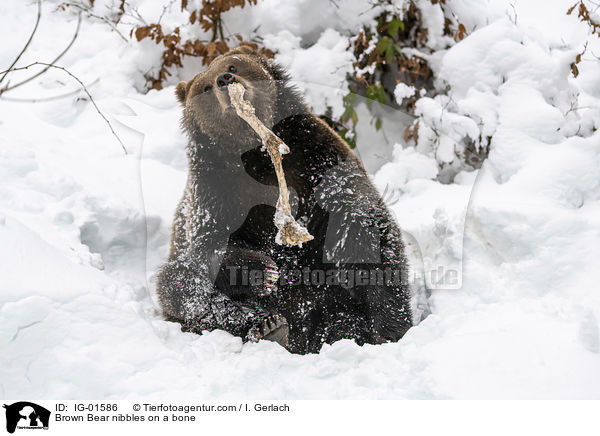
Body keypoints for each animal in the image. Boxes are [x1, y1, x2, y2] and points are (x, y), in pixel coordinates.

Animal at [156, 46, 412, 354]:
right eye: (204, 87)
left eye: (233, 65)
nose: (224, 79)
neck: (256, 152)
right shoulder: (215, 191)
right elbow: (209, 247)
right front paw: (264, 271)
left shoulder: (317, 160)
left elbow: (360, 228)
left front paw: (388, 325)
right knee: (181, 285)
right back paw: (268, 326)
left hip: (328, 296)